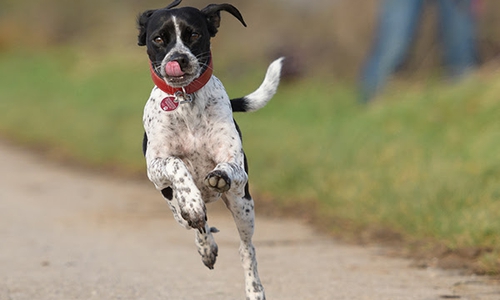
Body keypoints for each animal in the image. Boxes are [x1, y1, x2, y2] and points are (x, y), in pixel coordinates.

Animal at [137, 1, 284, 298]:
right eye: (158, 39)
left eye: (194, 35)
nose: (179, 59)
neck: (184, 99)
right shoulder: (155, 168)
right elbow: (177, 164)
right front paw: (192, 202)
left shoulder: (237, 167)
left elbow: (226, 166)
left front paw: (219, 176)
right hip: (174, 209)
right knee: (198, 225)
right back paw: (205, 242)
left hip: (243, 206)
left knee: (246, 248)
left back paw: (254, 288)